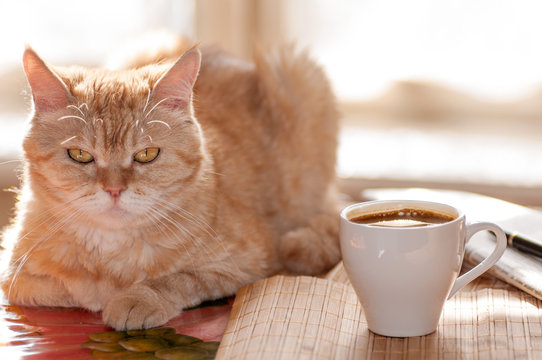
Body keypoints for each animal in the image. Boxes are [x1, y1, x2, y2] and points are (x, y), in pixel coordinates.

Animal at [1, 41, 340, 330]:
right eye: (80, 155)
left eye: (147, 154)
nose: (114, 190)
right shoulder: (13, 273)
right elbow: (69, 289)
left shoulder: (251, 260)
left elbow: (178, 279)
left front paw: (136, 297)